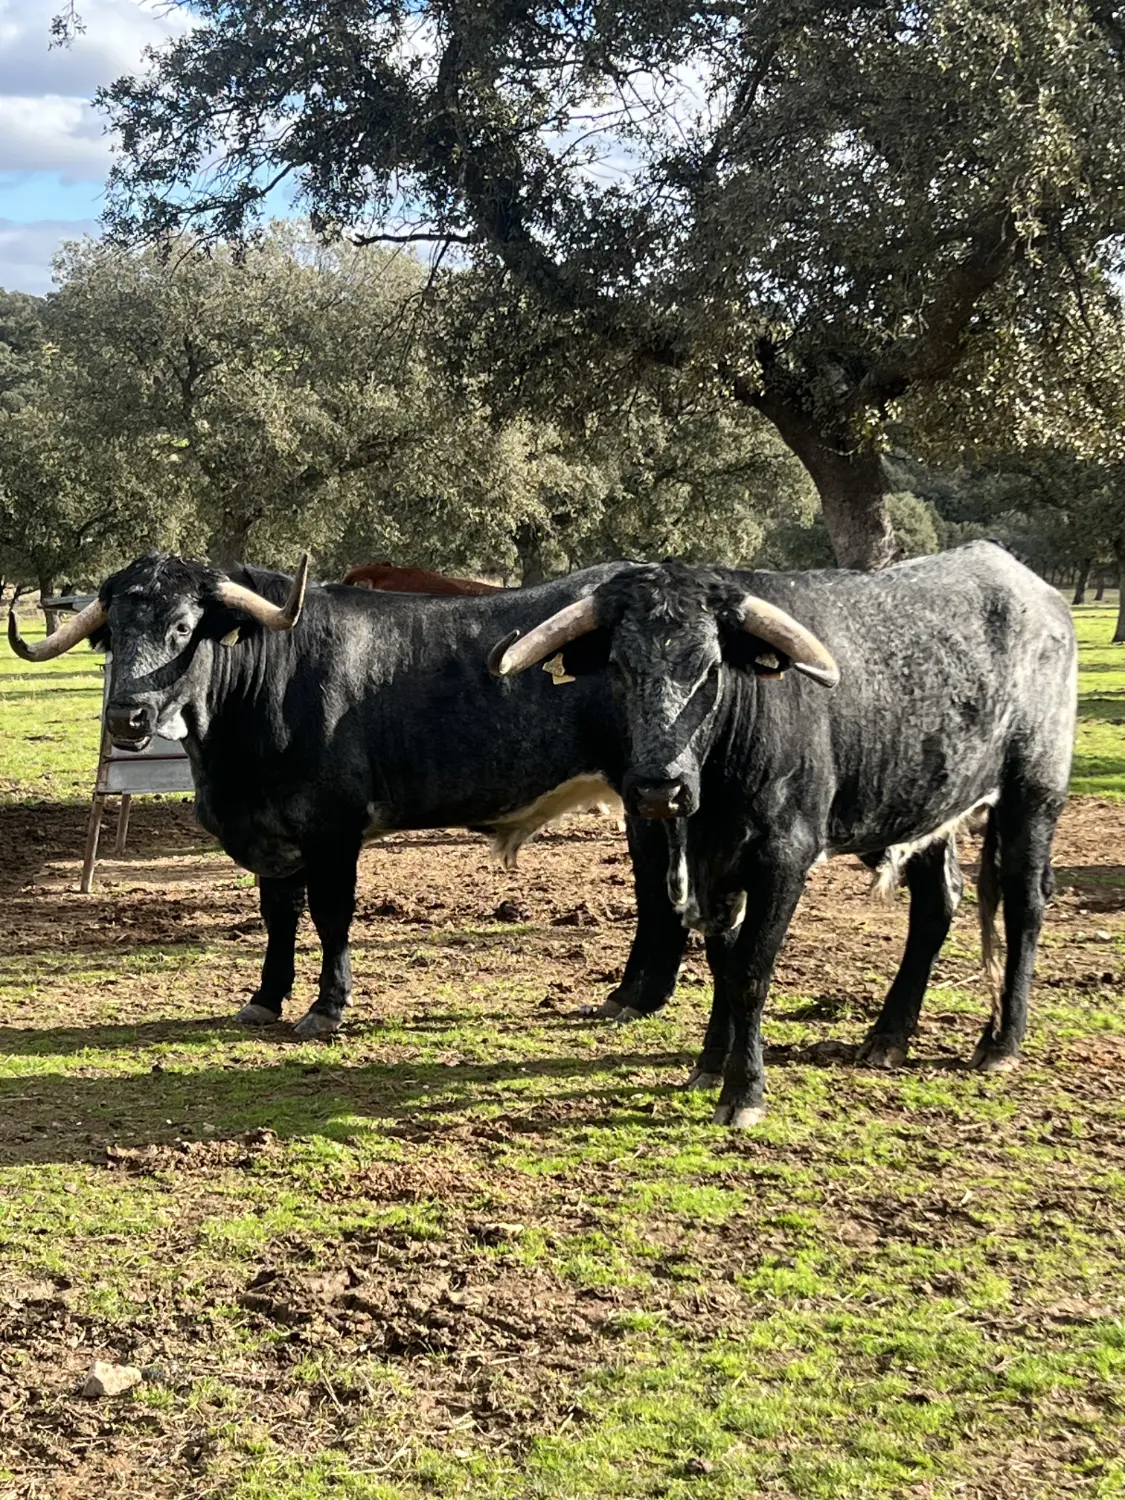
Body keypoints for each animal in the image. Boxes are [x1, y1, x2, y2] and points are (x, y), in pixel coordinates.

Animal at [7, 553, 700, 1037]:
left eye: (182, 627)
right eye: (113, 634)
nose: (125, 716)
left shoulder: (332, 833)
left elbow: (330, 916)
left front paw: (326, 1007)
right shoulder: (273, 834)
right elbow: (278, 915)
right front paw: (264, 999)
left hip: (653, 799)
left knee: (660, 893)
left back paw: (644, 998)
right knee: (652, 892)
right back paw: (627, 995)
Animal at [491, 542, 1077, 1126]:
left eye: (711, 667)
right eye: (618, 666)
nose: (661, 789)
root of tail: (1028, 584)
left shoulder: (782, 860)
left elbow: (750, 973)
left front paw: (744, 1091)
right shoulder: (713, 865)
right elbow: (723, 966)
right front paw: (710, 1065)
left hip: (1033, 794)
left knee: (1026, 902)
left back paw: (1001, 1042)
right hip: (928, 806)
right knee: (937, 903)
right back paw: (889, 1036)